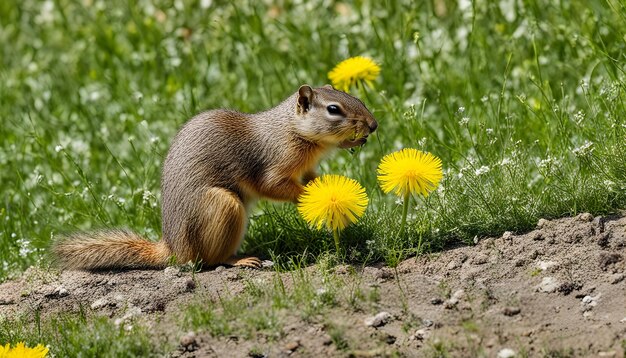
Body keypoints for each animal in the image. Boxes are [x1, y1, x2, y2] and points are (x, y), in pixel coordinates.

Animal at [53, 84, 376, 268]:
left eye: (353, 95)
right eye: (333, 109)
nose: (373, 125)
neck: (291, 129)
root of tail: (173, 250)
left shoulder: (305, 168)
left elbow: (312, 178)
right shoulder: (274, 163)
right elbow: (273, 186)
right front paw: (304, 196)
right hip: (223, 205)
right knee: (210, 260)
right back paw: (242, 259)